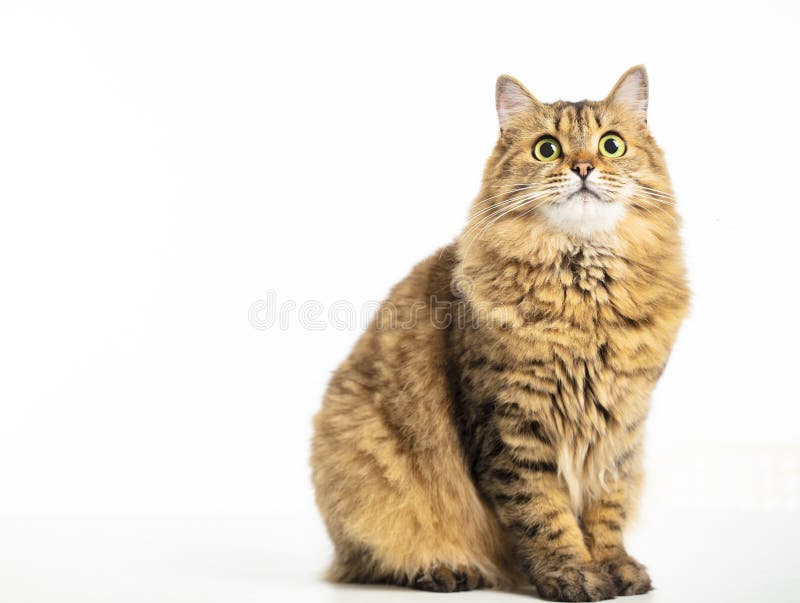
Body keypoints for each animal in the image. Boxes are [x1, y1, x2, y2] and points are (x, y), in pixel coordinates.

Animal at [310, 68, 692, 600]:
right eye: (547, 149)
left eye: (611, 145)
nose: (583, 167)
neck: (585, 294)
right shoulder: (512, 424)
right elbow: (544, 514)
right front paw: (572, 574)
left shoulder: (620, 425)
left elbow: (606, 509)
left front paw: (613, 566)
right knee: (376, 558)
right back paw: (445, 568)